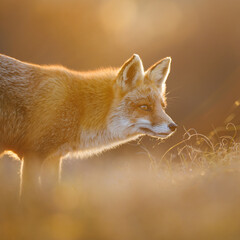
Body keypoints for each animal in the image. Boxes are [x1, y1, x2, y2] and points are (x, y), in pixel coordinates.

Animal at [0, 54, 176, 195]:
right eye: (145, 107)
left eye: (162, 106)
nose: (173, 126)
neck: (80, 109)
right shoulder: (33, 155)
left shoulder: (53, 158)